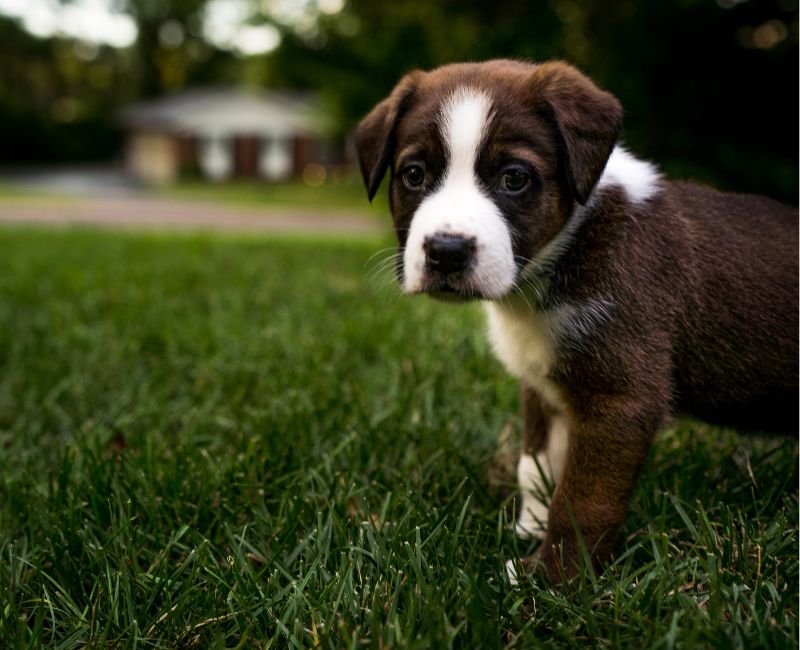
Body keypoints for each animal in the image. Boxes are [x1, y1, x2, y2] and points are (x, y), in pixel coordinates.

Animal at [356, 58, 800, 580]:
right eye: (413, 174)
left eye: (514, 178)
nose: (446, 251)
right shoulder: (542, 383)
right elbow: (535, 468)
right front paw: (528, 528)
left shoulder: (620, 401)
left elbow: (581, 502)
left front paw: (555, 579)